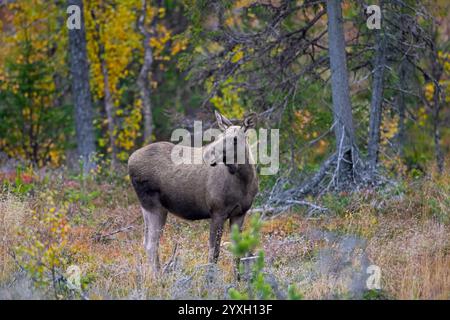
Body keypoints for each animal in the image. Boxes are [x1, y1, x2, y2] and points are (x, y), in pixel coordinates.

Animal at [128, 111, 258, 274]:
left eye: (235, 139)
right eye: (221, 136)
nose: (210, 155)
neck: (244, 180)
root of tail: (129, 160)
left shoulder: (240, 213)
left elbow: (237, 254)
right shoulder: (217, 211)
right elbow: (213, 253)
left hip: (147, 208)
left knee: (146, 242)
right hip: (154, 206)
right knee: (152, 244)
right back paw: (158, 277)